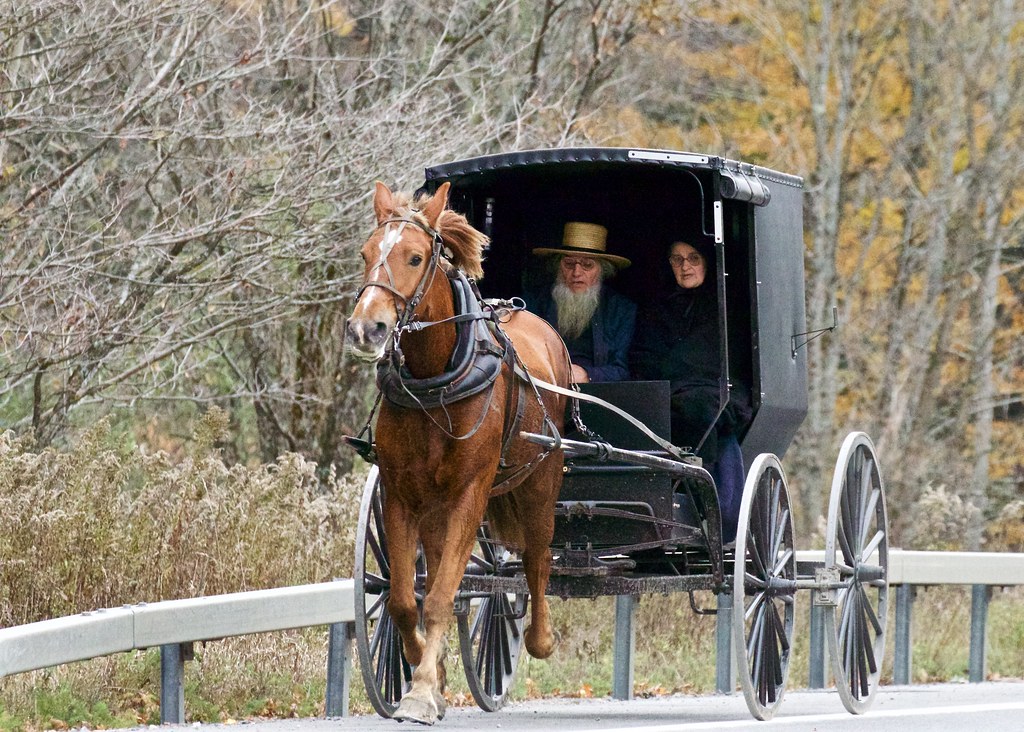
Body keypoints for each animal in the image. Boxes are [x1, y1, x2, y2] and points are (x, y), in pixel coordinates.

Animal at [348, 182, 573, 720]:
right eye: (365, 253)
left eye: (414, 257)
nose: (366, 330)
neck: (436, 382)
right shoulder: (400, 493)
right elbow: (406, 598)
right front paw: (423, 673)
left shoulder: (470, 495)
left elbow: (440, 596)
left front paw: (422, 691)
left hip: (541, 479)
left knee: (537, 557)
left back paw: (540, 638)